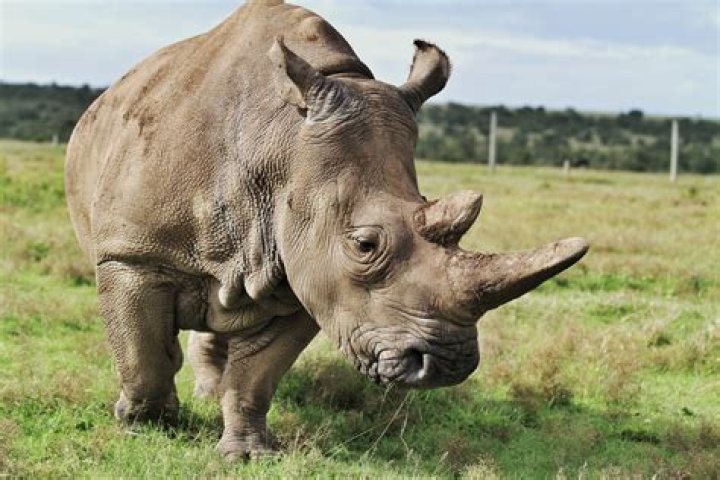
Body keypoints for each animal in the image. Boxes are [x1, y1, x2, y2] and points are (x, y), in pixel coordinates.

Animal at [65, 0, 588, 459]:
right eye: (365, 244)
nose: (448, 364)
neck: (280, 142)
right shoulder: (133, 254)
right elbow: (143, 353)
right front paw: (146, 425)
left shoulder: (306, 276)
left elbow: (256, 376)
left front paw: (249, 454)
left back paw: (209, 392)